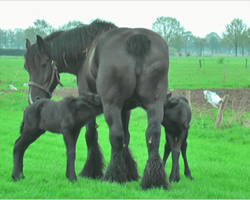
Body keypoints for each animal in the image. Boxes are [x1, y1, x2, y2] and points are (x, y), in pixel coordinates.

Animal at [23, 19, 170, 188]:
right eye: (26, 67)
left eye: (43, 65)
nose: (33, 98)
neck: (86, 53)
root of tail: (137, 39)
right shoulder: (126, 108)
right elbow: (126, 137)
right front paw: (129, 172)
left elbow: (91, 135)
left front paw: (91, 170)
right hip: (154, 104)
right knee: (153, 135)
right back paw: (153, 180)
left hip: (111, 105)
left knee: (116, 136)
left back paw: (111, 176)